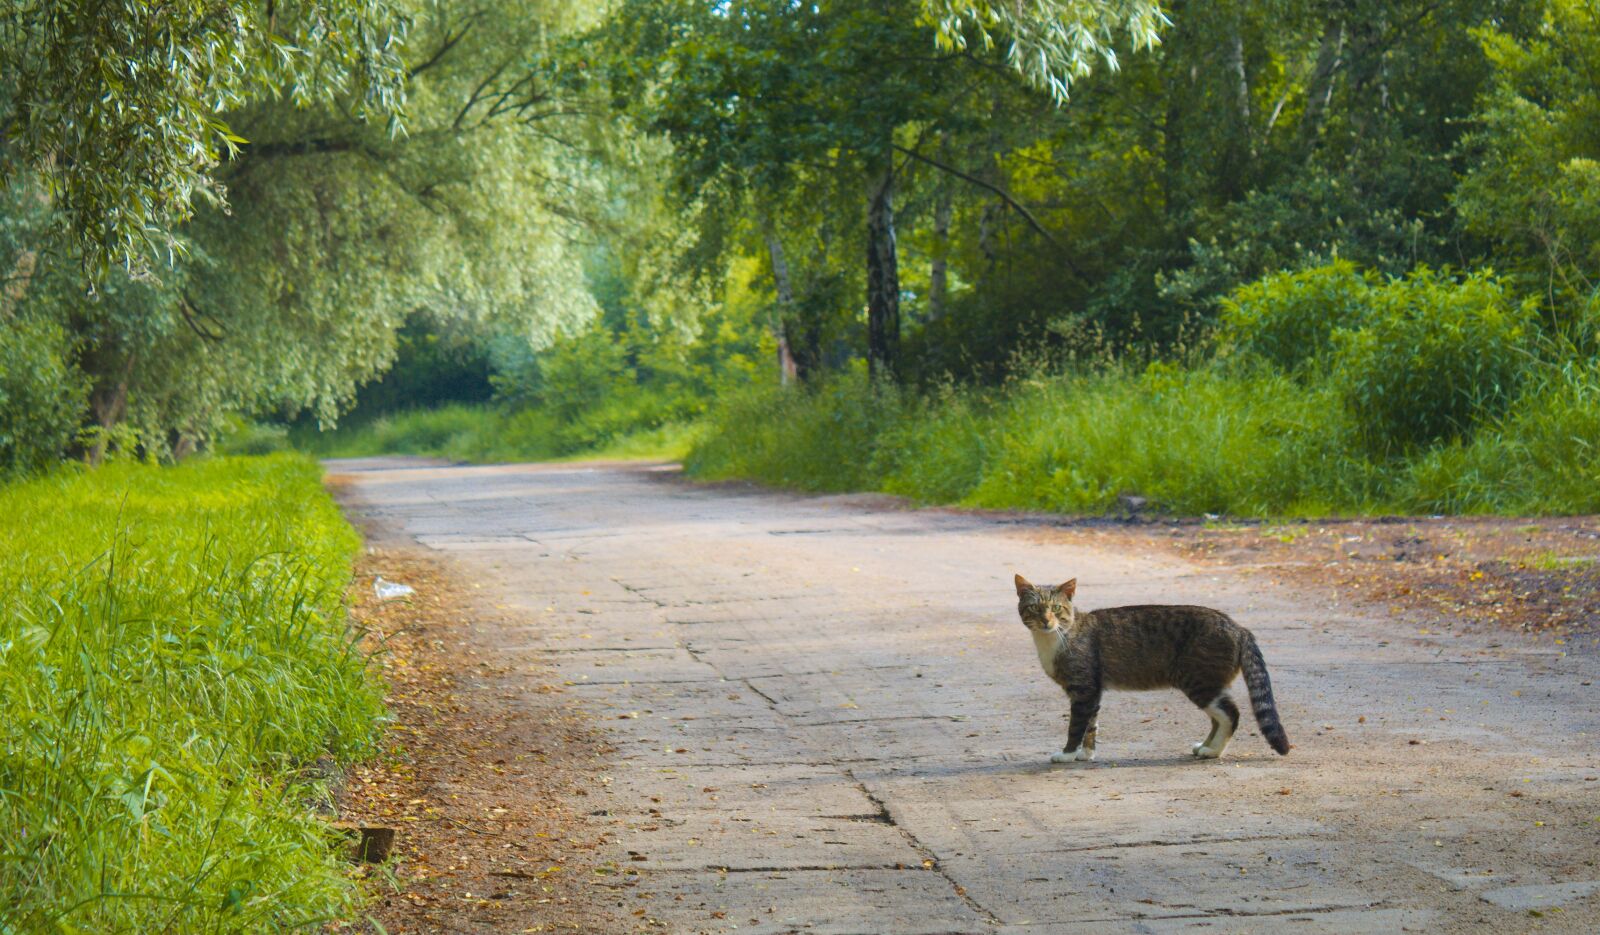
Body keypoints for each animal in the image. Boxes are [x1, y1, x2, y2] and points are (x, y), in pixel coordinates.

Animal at [1017, 573, 1292, 762]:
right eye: (1034, 608)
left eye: (1056, 608)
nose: (1046, 621)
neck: (1056, 637)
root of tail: (1238, 627)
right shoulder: (1092, 691)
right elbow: (1091, 726)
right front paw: (1086, 754)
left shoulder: (1083, 690)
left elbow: (1076, 726)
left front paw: (1067, 754)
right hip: (1208, 684)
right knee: (1219, 716)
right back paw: (1205, 747)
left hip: (1199, 682)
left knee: (1230, 714)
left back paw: (1213, 751)